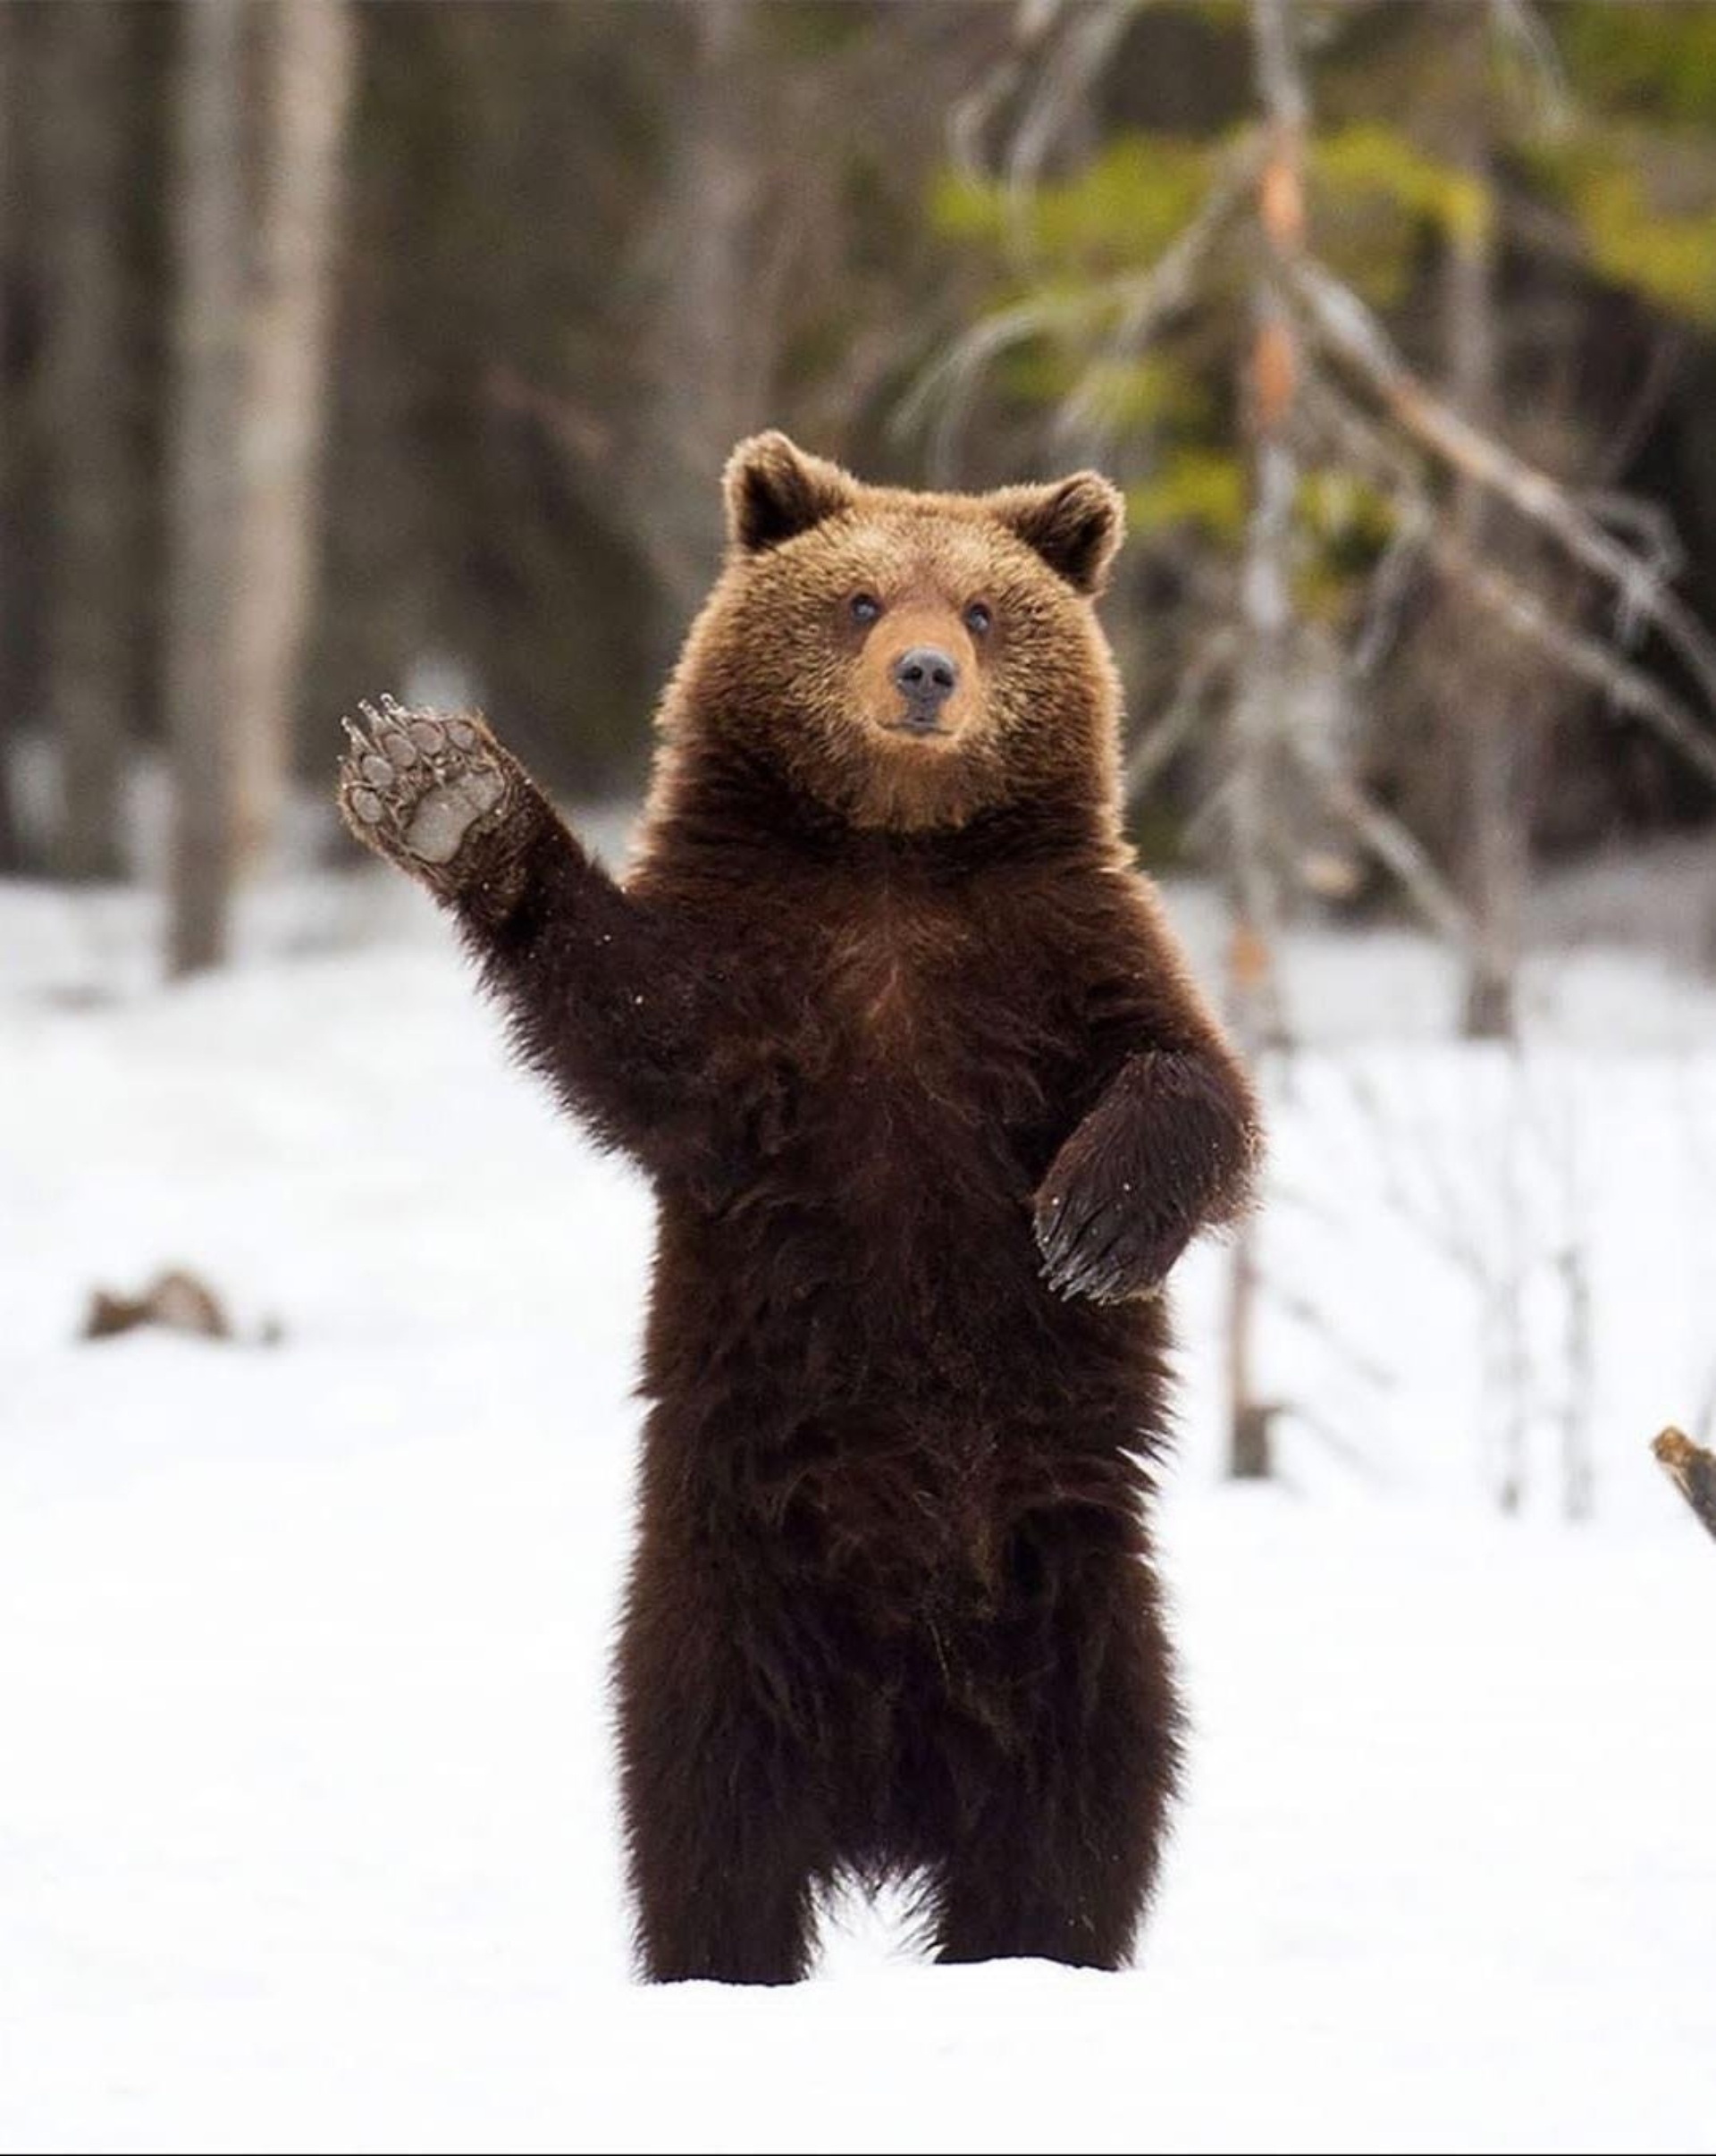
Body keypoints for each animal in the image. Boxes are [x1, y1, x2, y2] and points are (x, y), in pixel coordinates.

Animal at [333, 433, 1258, 1983]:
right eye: (860, 597)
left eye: (986, 609)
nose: (927, 674)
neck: (896, 861)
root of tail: (893, 1787)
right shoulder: (766, 987)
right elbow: (642, 1024)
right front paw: (444, 787)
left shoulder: (1061, 957)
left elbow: (1194, 1082)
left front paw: (1090, 1222)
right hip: (723, 1600)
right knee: (709, 1819)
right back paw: (728, 1963)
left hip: (1082, 1615)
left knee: (1081, 1820)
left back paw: (1035, 1957)